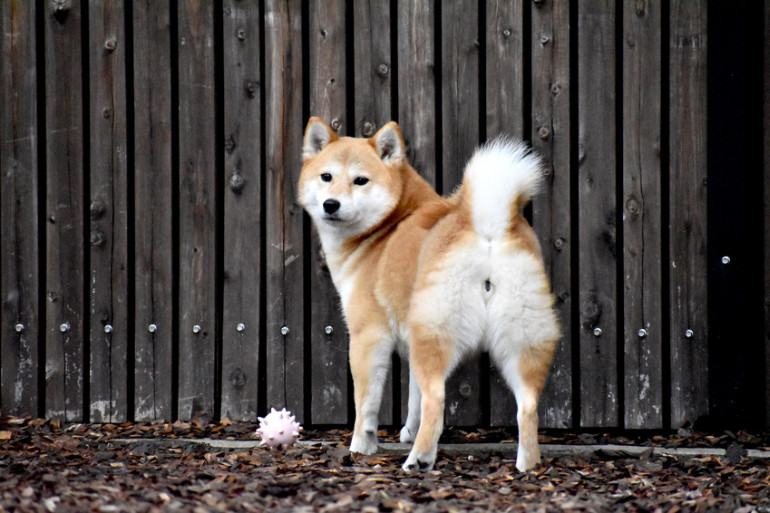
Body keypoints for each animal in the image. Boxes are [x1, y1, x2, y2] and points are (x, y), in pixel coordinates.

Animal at [296, 118, 556, 470]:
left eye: (360, 181)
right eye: (326, 177)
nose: (330, 204)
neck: (387, 227)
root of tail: (486, 228)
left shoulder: (368, 337)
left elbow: (368, 404)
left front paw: (361, 446)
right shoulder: (410, 341)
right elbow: (413, 398)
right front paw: (407, 430)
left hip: (434, 336)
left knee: (437, 399)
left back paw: (418, 459)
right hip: (517, 342)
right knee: (527, 406)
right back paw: (527, 465)